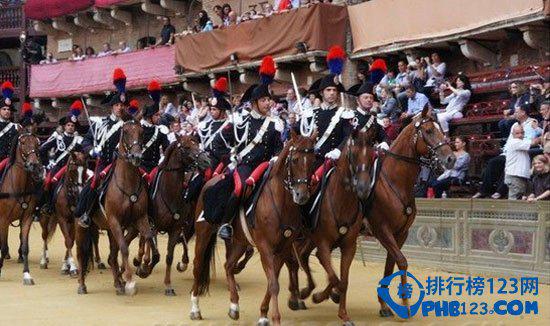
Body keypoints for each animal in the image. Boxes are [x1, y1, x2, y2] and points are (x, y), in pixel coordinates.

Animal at [0, 132, 43, 286]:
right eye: (23, 143)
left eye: (37, 143)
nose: (34, 165)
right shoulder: (3, 219)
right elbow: (3, 246)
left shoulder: (27, 218)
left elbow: (25, 247)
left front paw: (26, 275)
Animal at [74, 119, 160, 296]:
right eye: (125, 132)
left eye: (141, 132)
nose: (136, 157)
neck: (127, 184)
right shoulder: (115, 221)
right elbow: (124, 249)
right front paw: (130, 281)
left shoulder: (140, 219)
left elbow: (148, 238)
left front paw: (143, 269)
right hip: (82, 229)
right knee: (81, 253)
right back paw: (82, 284)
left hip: (110, 230)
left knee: (113, 254)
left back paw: (118, 283)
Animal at [130, 135, 212, 296]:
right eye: (186, 147)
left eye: (197, 143)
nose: (206, 161)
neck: (169, 193)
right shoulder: (154, 226)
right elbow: (155, 255)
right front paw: (144, 269)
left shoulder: (176, 229)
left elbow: (169, 257)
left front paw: (168, 285)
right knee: (143, 241)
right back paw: (141, 260)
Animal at [191, 131, 316, 326]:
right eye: (295, 160)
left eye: (313, 160)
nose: (301, 195)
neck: (280, 203)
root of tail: (211, 181)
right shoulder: (266, 248)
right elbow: (274, 284)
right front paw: (275, 318)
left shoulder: (283, 249)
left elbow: (272, 282)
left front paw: (263, 315)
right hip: (203, 233)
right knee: (198, 265)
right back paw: (195, 308)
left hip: (240, 242)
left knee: (228, 265)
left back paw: (234, 306)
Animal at [298, 124, 384, 324]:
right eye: (353, 155)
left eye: (372, 154)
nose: (363, 188)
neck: (341, 201)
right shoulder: (323, 244)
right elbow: (334, 277)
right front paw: (321, 296)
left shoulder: (349, 246)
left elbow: (342, 281)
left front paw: (343, 313)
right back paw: (299, 297)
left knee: (303, 255)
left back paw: (306, 291)